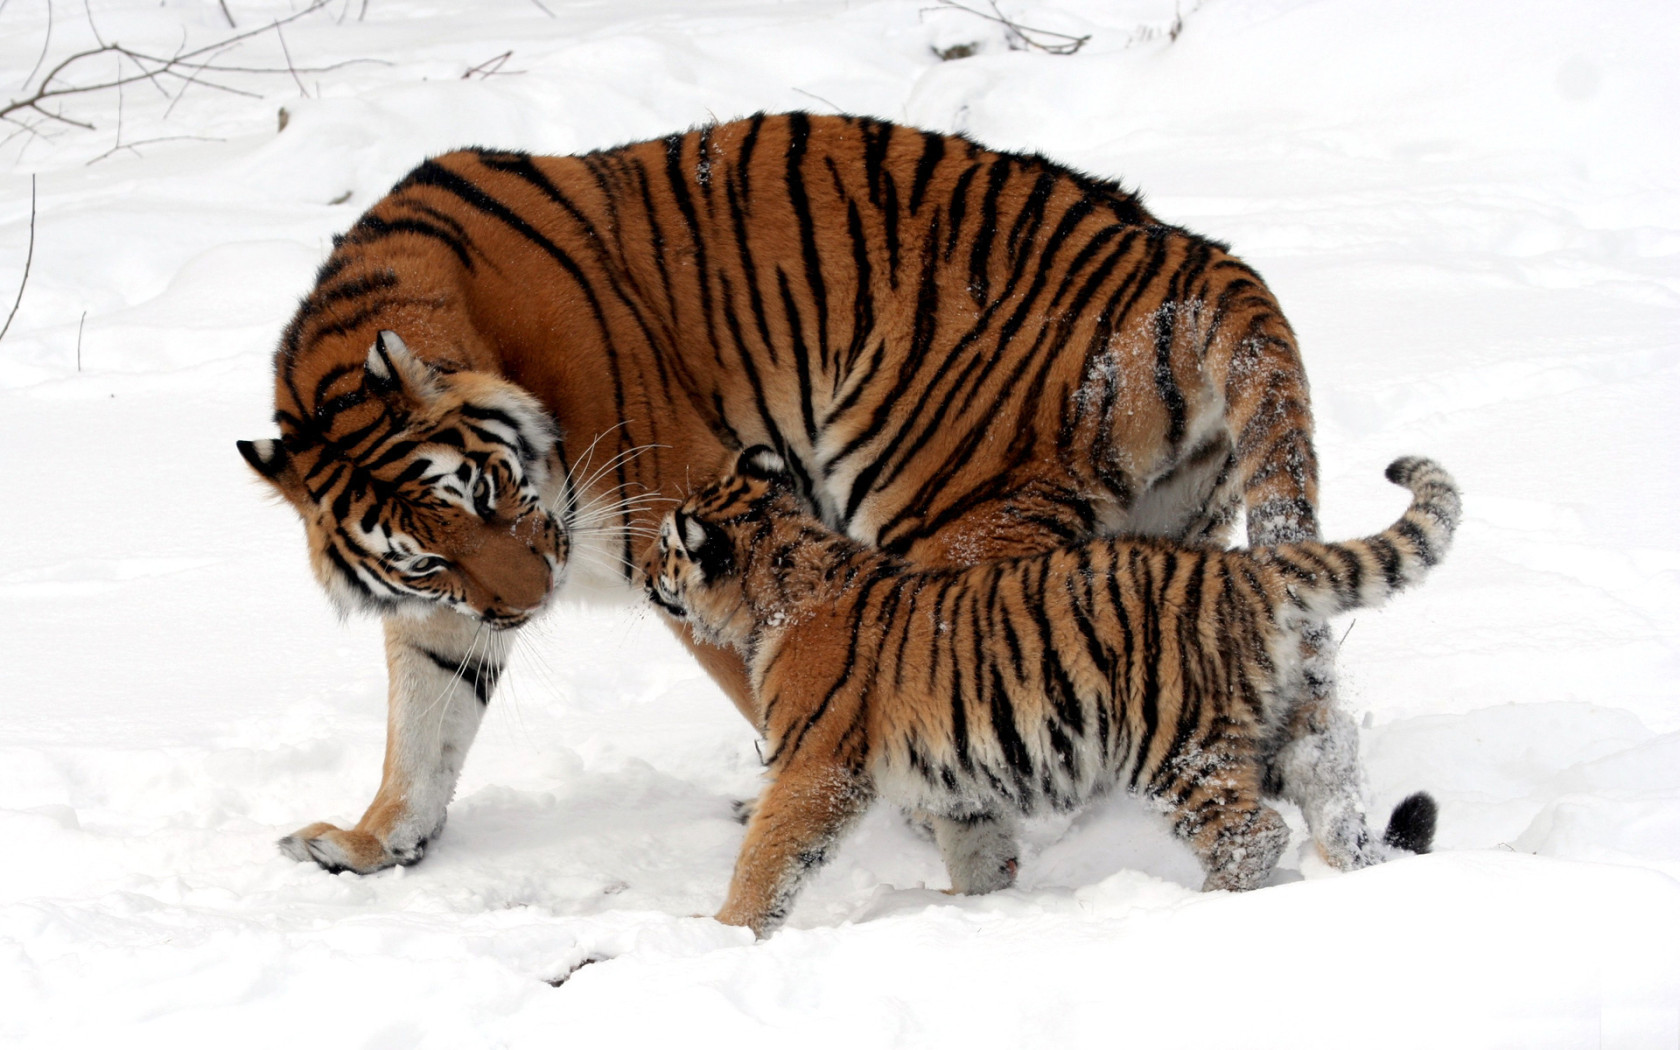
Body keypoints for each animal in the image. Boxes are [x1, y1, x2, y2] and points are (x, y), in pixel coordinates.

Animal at [240, 114, 1364, 880]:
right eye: (427, 554)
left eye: (489, 491)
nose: (529, 603)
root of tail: (1190, 256)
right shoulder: (449, 610)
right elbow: (424, 721)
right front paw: (372, 842)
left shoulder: (683, 521)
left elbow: (774, 682)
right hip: (1170, 534)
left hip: (952, 514)